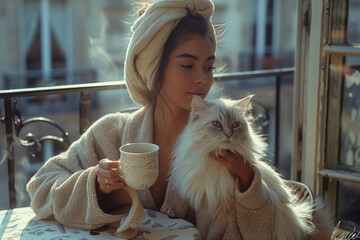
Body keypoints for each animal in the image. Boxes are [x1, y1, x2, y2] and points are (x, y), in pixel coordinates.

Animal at [170, 95, 314, 240]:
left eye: (235, 125)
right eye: (216, 124)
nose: (228, 135)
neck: (216, 165)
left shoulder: (223, 213)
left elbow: (212, 235)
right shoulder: (204, 209)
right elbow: (202, 231)